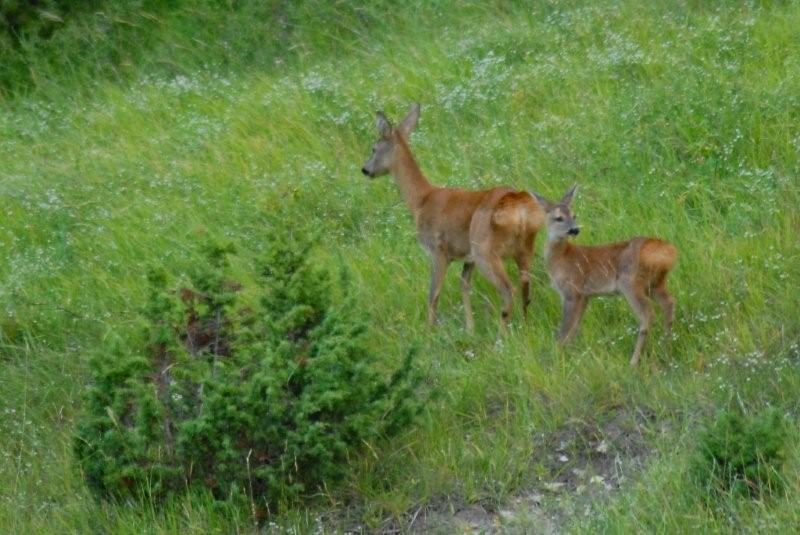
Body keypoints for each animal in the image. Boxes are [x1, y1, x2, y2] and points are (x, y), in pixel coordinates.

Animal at [360, 103, 544, 330]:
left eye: (374, 148)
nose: (365, 169)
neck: (421, 201)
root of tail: (517, 204)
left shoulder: (437, 249)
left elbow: (433, 294)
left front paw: (429, 331)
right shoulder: (467, 257)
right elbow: (463, 286)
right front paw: (470, 328)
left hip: (485, 249)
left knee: (509, 290)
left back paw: (502, 334)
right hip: (524, 248)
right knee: (526, 289)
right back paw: (525, 327)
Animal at [532, 186, 676, 366]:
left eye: (574, 215)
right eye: (558, 218)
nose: (575, 229)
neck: (561, 258)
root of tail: (666, 252)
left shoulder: (572, 290)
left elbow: (565, 329)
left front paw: (557, 355)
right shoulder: (585, 296)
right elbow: (575, 327)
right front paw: (571, 352)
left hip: (630, 282)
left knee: (648, 314)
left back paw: (634, 361)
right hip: (656, 283)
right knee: (669, 303)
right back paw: (666, 347)